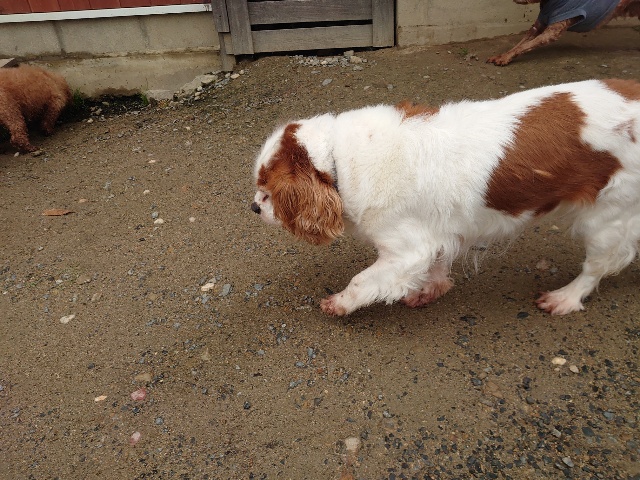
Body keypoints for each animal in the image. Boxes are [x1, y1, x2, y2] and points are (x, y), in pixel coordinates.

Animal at [252, 79, 640, 316]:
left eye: (267, 189)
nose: (254, 206)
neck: (338, 162)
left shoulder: (405, 250)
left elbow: (363, 280)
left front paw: (340, 303)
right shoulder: (437, 234)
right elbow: (438, 263)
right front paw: (431, 288)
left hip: (607, 219)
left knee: (598, 266)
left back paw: (566, 297)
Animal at [487, 0, 640, 66]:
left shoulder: (552, 32)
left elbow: (524, 46)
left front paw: (505, 58)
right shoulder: (538, 26)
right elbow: (519, 44)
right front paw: (503, 55)